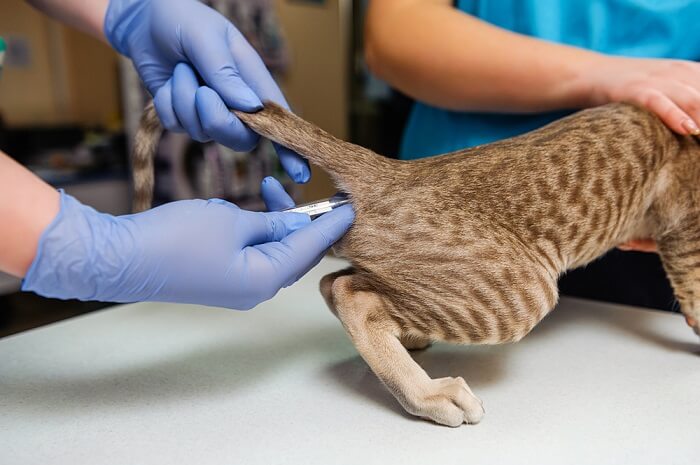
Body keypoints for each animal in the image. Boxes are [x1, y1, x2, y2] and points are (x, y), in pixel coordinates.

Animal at [131, 102, 700, 428]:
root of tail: (394, 170)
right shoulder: (684, 232)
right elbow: (695, 294)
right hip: (522, 292)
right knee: (350, 294)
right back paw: (427, 392)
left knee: (335, 282)